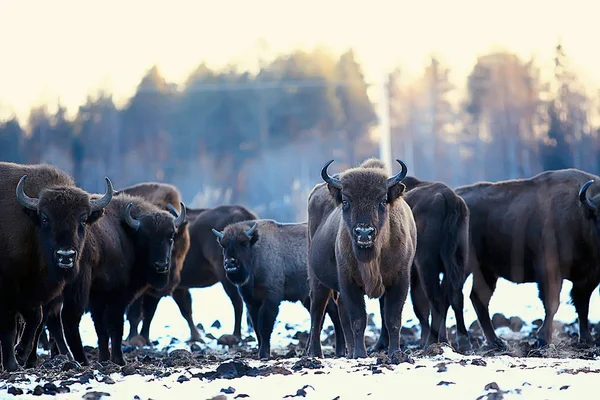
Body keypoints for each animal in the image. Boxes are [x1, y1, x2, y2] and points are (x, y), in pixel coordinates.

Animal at [0, 162, 112, 372]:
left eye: (83, 220)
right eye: (45, 219)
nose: (65, 256)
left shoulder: (34, 294)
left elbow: (36, 318)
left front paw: (21, 353)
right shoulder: (9, 288)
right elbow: (10, 325)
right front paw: (13, 363)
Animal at [212, 220, 344, 358]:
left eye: (243, 243)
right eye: (224, 245)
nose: (229, 263)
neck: (256, 252)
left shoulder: (271, 298)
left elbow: (264, 326)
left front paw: (264, 353)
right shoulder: (252, 302)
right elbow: (256, 328)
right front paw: (261, 351)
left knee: (333, 314)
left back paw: (339, 351)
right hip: (308, 298)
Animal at [308, 158, 414, 358]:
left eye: (382, 200)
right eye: (346, 201)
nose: (364, 233)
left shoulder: (400, 280)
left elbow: (392, 318)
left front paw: (395, 352)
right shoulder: (349, 282)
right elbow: (358, 320)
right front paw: (360, 354)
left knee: (339, 313)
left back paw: (347, 352)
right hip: (317, 280)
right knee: (317, 312)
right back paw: (315, 353)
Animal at [372, 177, 472, 352]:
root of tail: (449, 198)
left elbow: (386, 306)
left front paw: (380, 344)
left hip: (427, 265)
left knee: (437, 299)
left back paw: (431, 342)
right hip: (457, 260)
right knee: (454, 297)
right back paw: (462, 341)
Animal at [454, 170, 600, 350]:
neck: (581, 216)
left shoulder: (588, 278)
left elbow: (582, 306)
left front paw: (587, 340)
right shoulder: (550, 271)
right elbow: (552, 304)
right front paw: (543, 339)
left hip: (486, 270)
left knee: (478, 298)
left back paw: (496, 341)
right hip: (463, 266)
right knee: (456, 296)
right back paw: (464, 343)